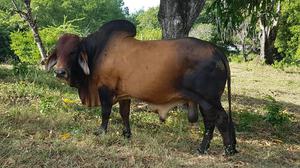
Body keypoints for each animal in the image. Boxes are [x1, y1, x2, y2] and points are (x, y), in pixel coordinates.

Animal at [45, 19, 237, 155]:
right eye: (57, 51)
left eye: (73, 52)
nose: (60, 72)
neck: (97, 51)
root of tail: (216, 50)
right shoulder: (124, 94)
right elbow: (124, 113)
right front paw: (126, 135)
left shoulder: (105, 89)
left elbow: (105, 112)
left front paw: (101, 131)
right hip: (205, 100)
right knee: (211, 120)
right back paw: (216, 148)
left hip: (208, 99)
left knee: (220, 119)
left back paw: (221, 150)